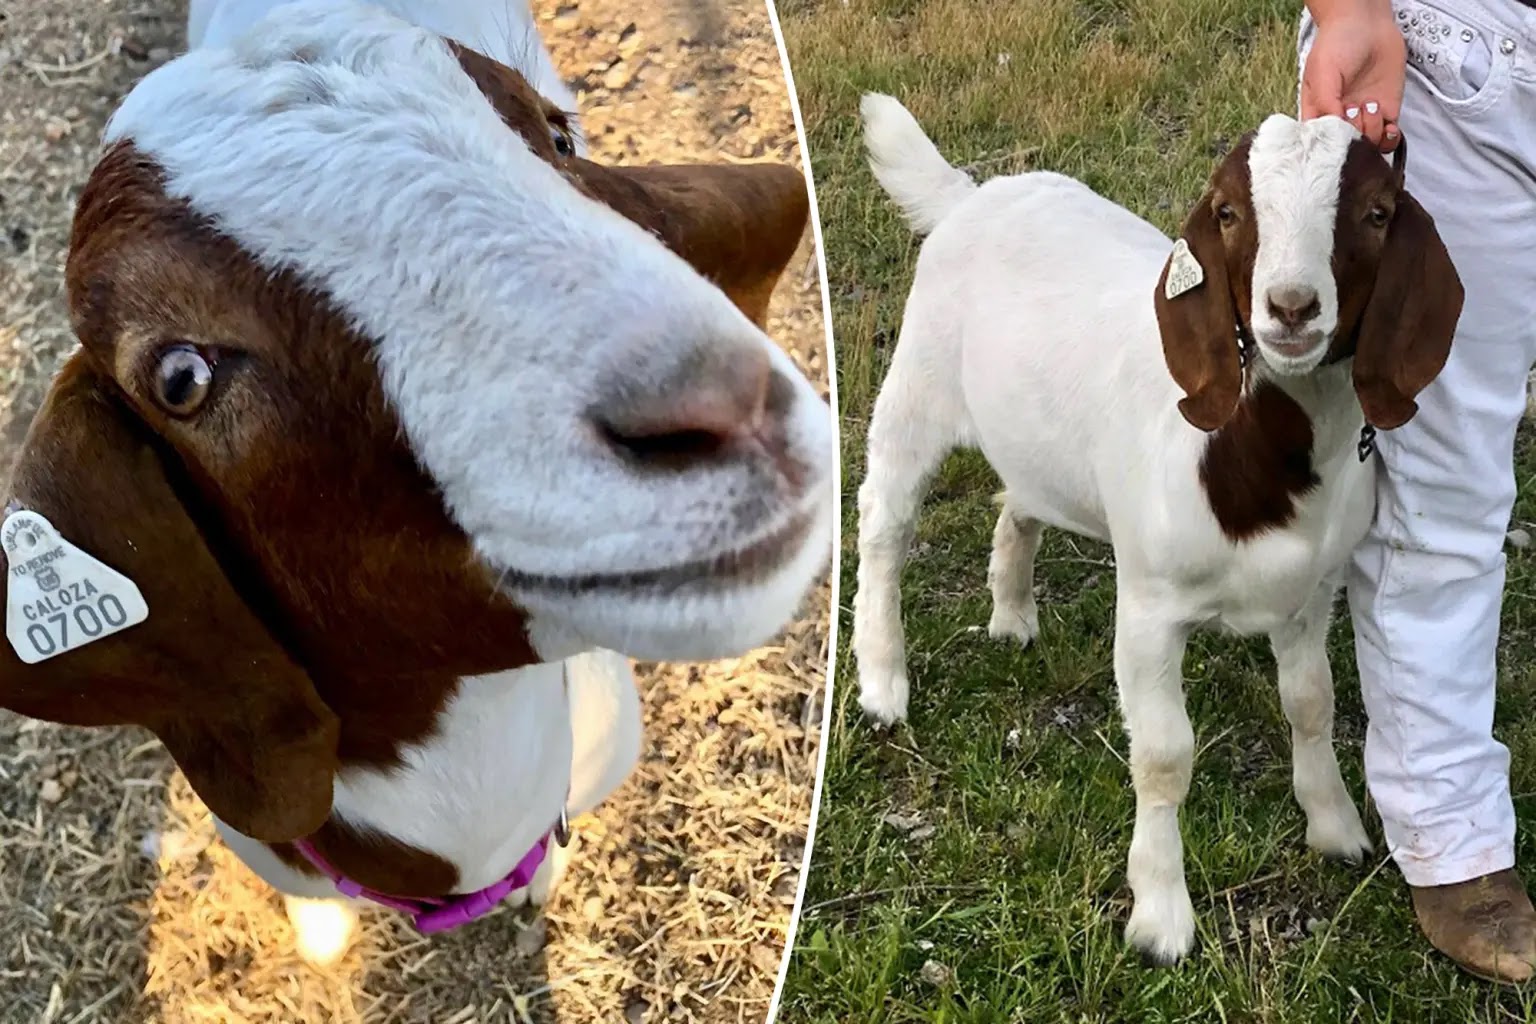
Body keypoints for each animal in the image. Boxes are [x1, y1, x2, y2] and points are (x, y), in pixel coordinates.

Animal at [850, 94, 1461, 964]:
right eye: (1229, 211)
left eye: (1377, 212)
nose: (1291, 308)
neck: (1259, 455)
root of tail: (970, 196)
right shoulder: (1148, 609)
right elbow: (1166, 755)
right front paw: (1162, 919)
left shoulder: (1313, 595)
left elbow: (1312, 702)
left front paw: (1335, 826)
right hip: (917, 388)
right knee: (885, 524)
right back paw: (881, 681)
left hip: (1040, 444)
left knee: (1018, 501)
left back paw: (1012, 614)